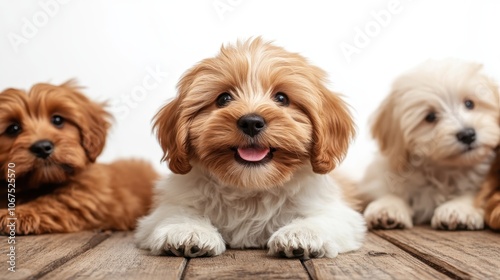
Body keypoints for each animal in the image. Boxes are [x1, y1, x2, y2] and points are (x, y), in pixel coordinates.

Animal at [0, 82, 158, 235]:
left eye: (57, 120)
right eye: (13, 129)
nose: (42, 147)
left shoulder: (84, 196)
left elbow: (54, 202)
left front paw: (17, 214)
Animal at [135, 38, 366, 260]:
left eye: (282, 98)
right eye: (223, 99)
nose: (251, 122)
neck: (250, 187)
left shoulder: (334, 209)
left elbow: (325, 218)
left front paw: (302, 234)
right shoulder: (167, 207)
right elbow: (175, 213)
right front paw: (188, 230)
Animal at [360, 58, 500, 230]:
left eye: (469, 103)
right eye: (430, 117)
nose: (467, 135)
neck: (446, 171)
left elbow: (476, 193)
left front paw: (458, 208)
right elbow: (390, 189)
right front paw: (388, 206)